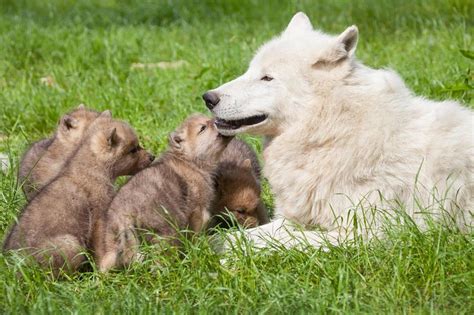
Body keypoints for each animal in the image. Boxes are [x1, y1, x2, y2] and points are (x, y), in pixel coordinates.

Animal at [204, 11, 474, 249]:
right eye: (249, 70)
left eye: (267, 78)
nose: (208, 97)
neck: (333, 131)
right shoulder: (295, 219)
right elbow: (243, 235)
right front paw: (209, 247)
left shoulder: (367, 234)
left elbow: (287, 242)